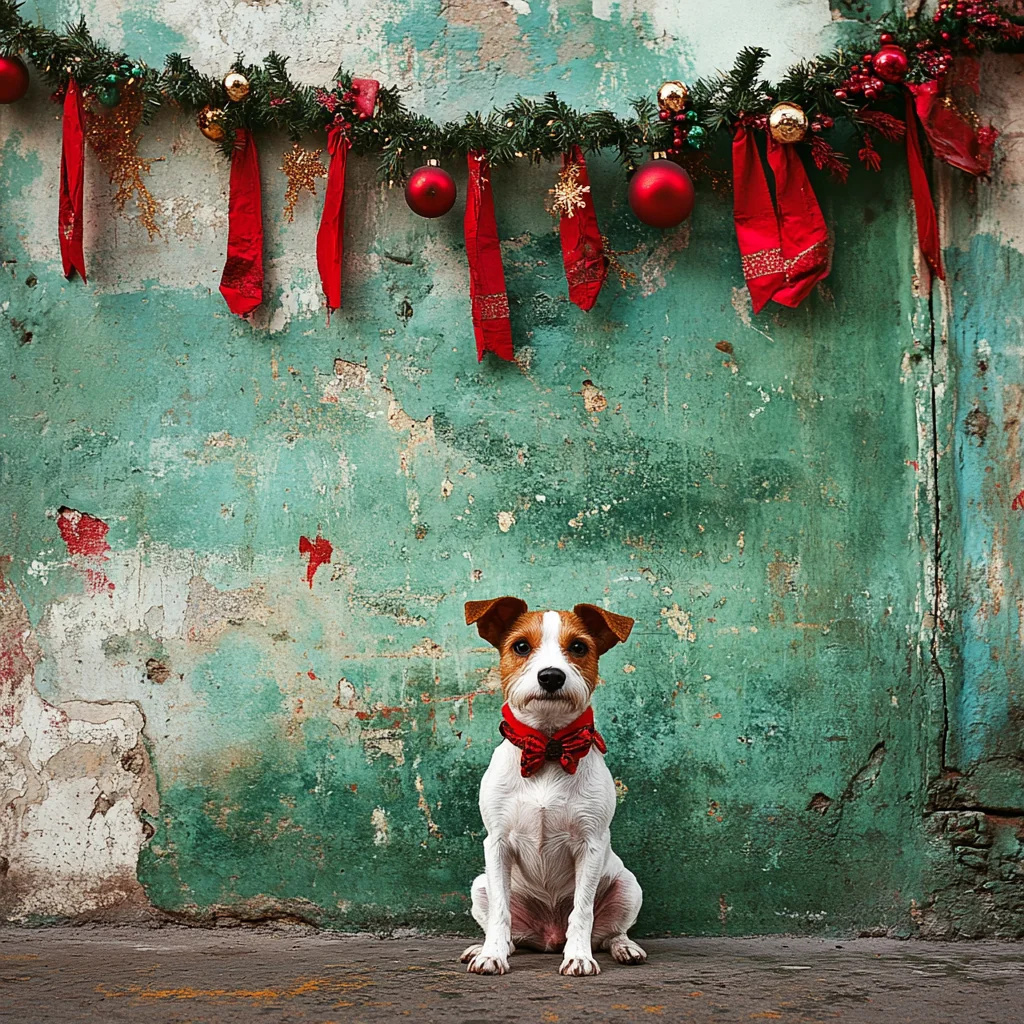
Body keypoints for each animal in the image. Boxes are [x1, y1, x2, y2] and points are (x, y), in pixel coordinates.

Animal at [460, 598, 643, 974]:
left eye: (579, 647)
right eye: (520, 646)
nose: (551, 676)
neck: (548, 747)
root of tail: (549, 936)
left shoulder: (590, 845)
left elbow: (582, 910)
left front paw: (579, 957)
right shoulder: (496, 844)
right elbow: (500, 912)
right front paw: (491, 954)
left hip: (628, 887)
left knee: (611, 932)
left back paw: (623, 947)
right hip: (480, 886)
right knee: (509, 929)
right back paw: (488, 946)